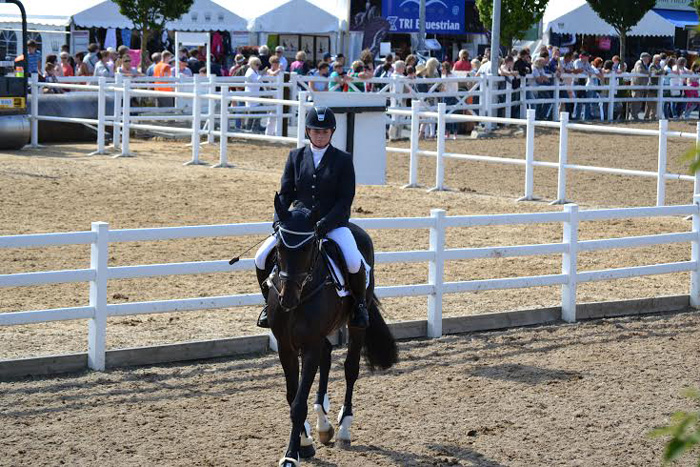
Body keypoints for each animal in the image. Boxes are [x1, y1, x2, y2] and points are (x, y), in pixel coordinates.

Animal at [268, 195, 400, 467]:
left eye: (308, 247)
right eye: (279, 247)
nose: (288, 299)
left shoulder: (310, 345)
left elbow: (298, 404)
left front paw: (291, 454)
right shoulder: (286, 347)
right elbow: (292, 395)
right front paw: (304, 443)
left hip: (356, 325)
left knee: (350, 369)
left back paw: (343, 430)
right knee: (327, 361)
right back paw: (323, 423)